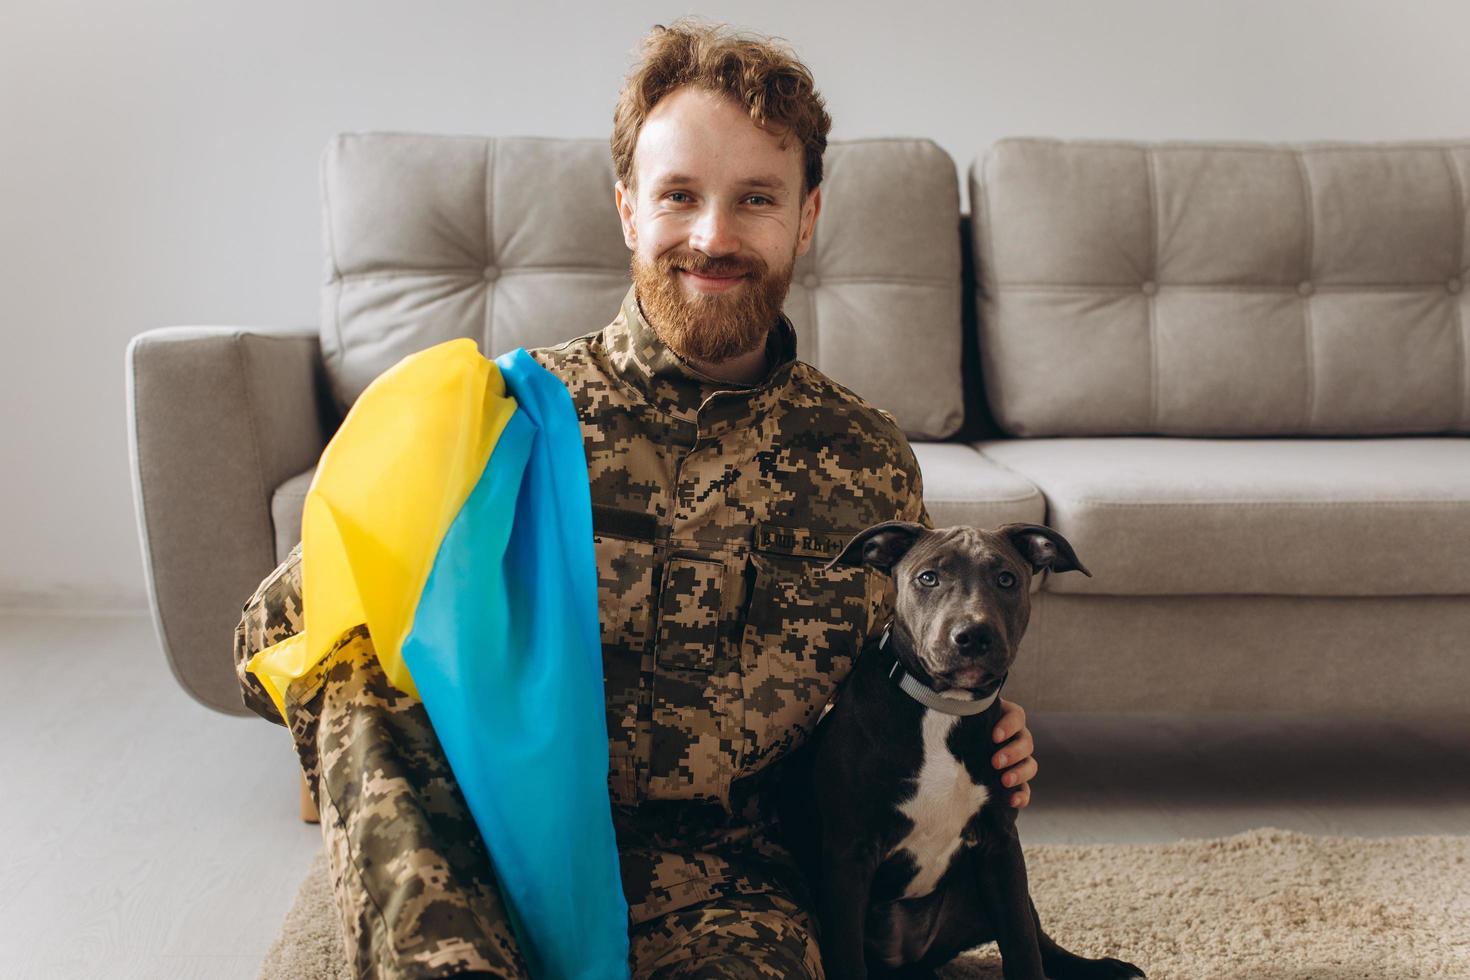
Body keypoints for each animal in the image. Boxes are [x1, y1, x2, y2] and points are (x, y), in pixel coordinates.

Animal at [776, 520, 1140, 980]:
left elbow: (1022, 941)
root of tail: (910, 960)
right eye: (928, 578)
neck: (943, 708)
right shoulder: (848, 855)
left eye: (1007, 579)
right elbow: (846, 955)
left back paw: (1101, 966)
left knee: (1038, 935)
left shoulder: (1001, 844)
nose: (972, 635)